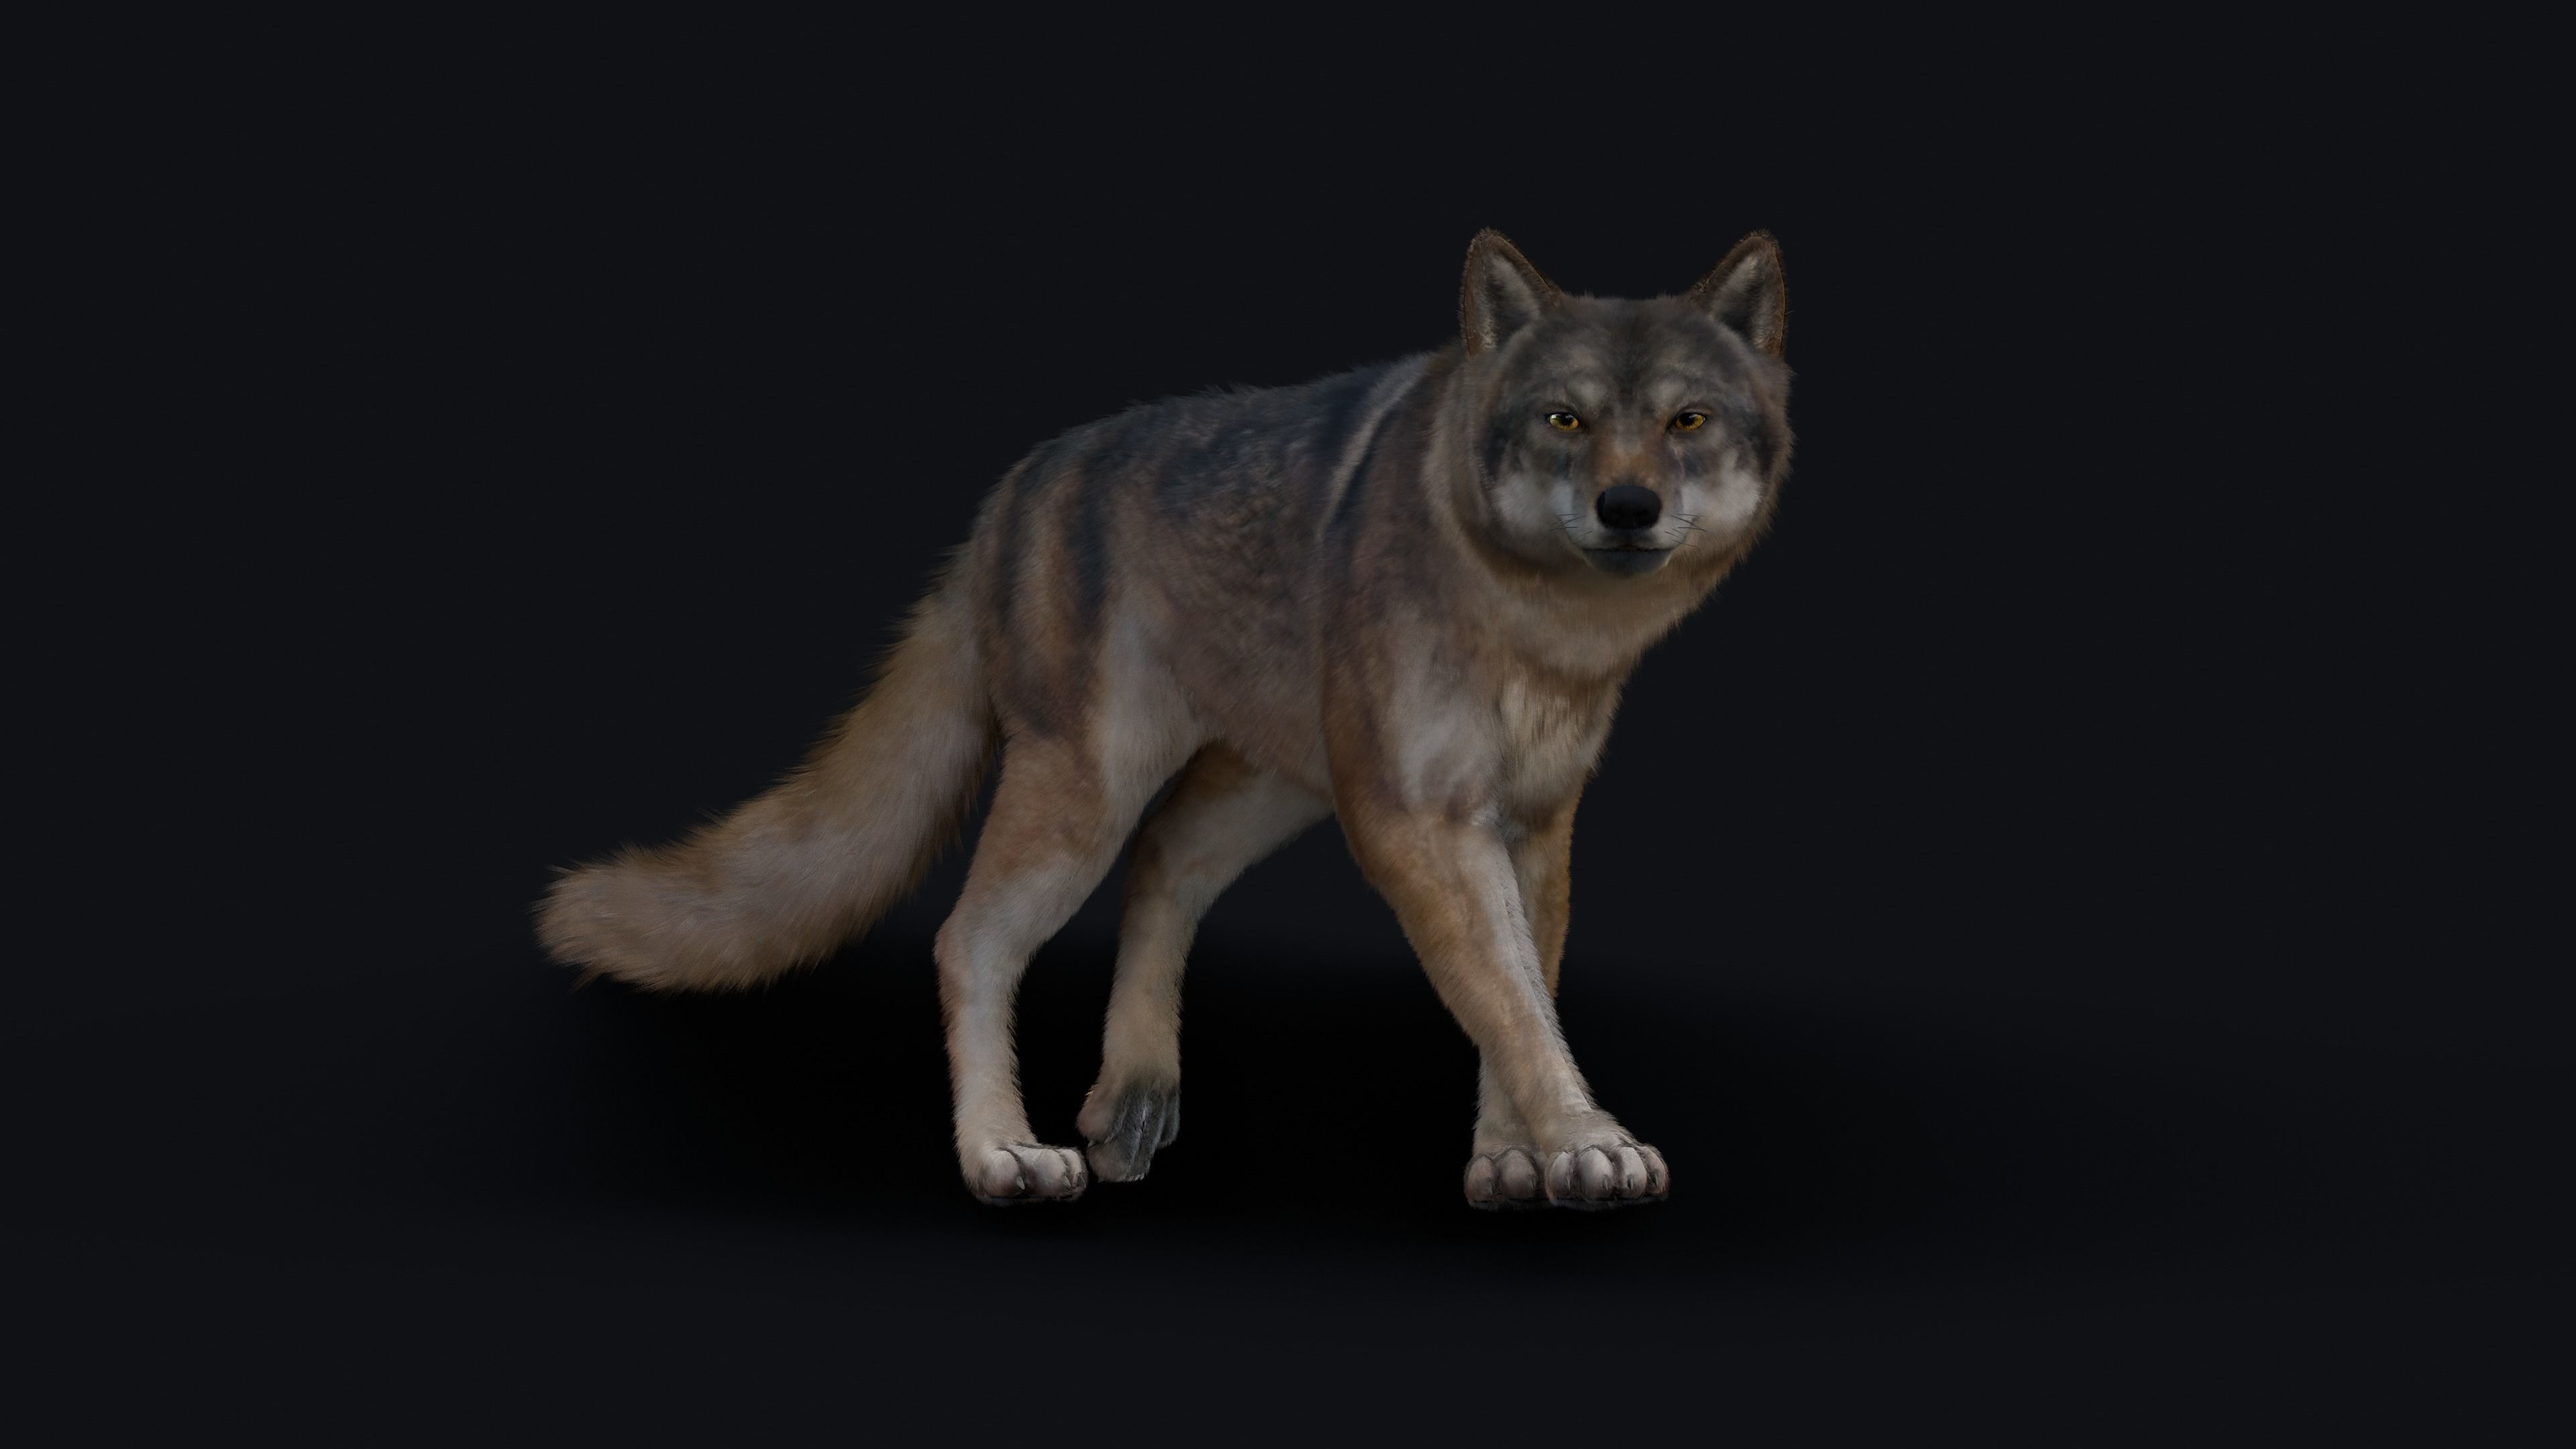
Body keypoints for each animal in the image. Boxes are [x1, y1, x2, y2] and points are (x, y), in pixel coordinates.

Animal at [537, 230, 1793, 1209]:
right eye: (1566, 419)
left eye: (1686, 420)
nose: (1626, 507)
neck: (1537, 630)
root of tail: (1012, 492)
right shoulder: (1417, 823)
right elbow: (1507, 998)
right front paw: (1586, 1143)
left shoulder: (1532, 824)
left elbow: (1518, 995)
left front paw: (1512, 1161)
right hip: (1094, 792)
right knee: (970, 938)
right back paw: (1003, 1151)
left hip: (1264, 792)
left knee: (1160, 859)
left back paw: (1135, 1085)